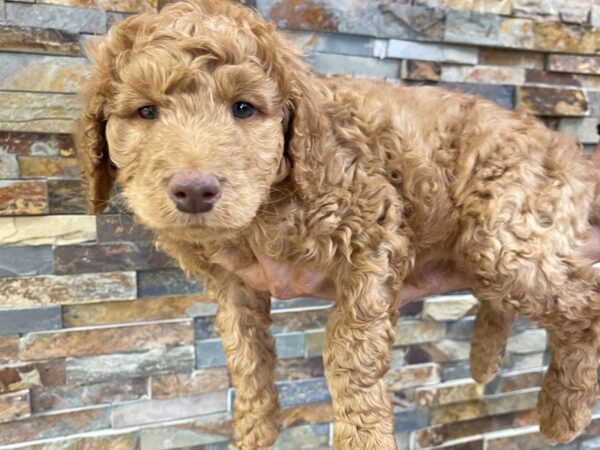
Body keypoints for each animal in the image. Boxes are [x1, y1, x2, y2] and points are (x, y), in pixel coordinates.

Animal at [77, 1, 600, 448]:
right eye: (146, 112)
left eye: (243, 108)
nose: (194, 190)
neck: (273, 200)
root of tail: (567, 151)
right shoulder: (233, 283)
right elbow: (244, 353)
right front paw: (255, 428)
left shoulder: (375, 232)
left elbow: (349, 349)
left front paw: (363, 437)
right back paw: (486, 361)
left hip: (508, 235)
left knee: (584, 308)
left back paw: (562, 416)